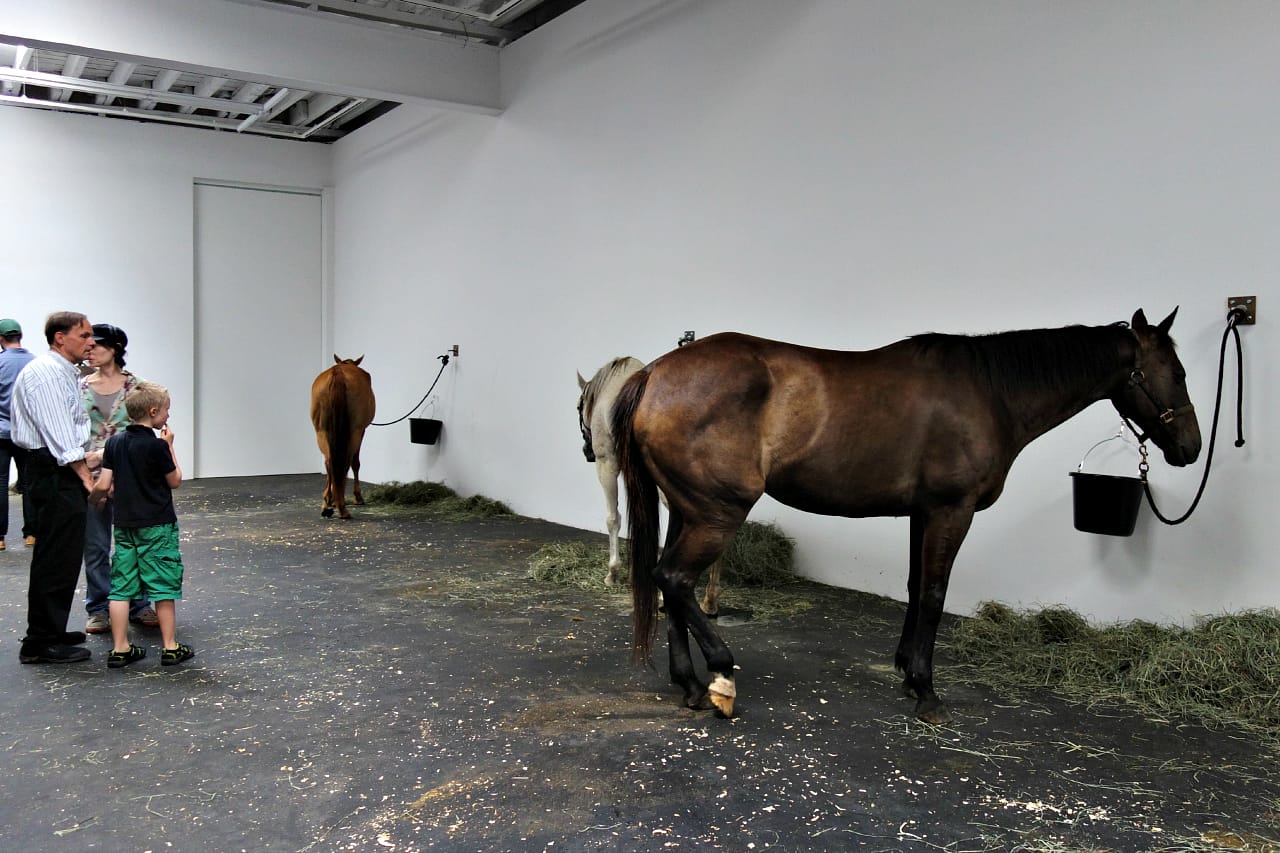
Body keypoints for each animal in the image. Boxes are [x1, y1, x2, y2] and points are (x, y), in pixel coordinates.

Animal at [310, 355, 376, 519]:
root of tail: (338, 374)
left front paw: (331, 500)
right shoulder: (361, 431)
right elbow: (355, 463)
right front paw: (357, 497)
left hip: (321, 432)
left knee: (329, 461)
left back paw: (328, 504)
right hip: (354, 432)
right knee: (346, 461)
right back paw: (342, 507)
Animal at [578, 357, 721, 615]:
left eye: (578, 407)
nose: (587, 452)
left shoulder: (608, 463)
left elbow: (613, 518)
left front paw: (613, 573)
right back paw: (710, 600)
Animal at [613, 309, 1201, 723]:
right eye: (1175, 372)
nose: (1191, 448)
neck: (990, 393)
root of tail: (656, 375)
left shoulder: (924, 513)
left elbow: (918, 587)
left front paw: (904, 670)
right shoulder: (951, 511)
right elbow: (937, 593)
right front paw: (925, 688)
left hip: (687, 510)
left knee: (669, 583)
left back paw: (690, 684)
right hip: (717, 513)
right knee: (675, 578)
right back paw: (720, 676)